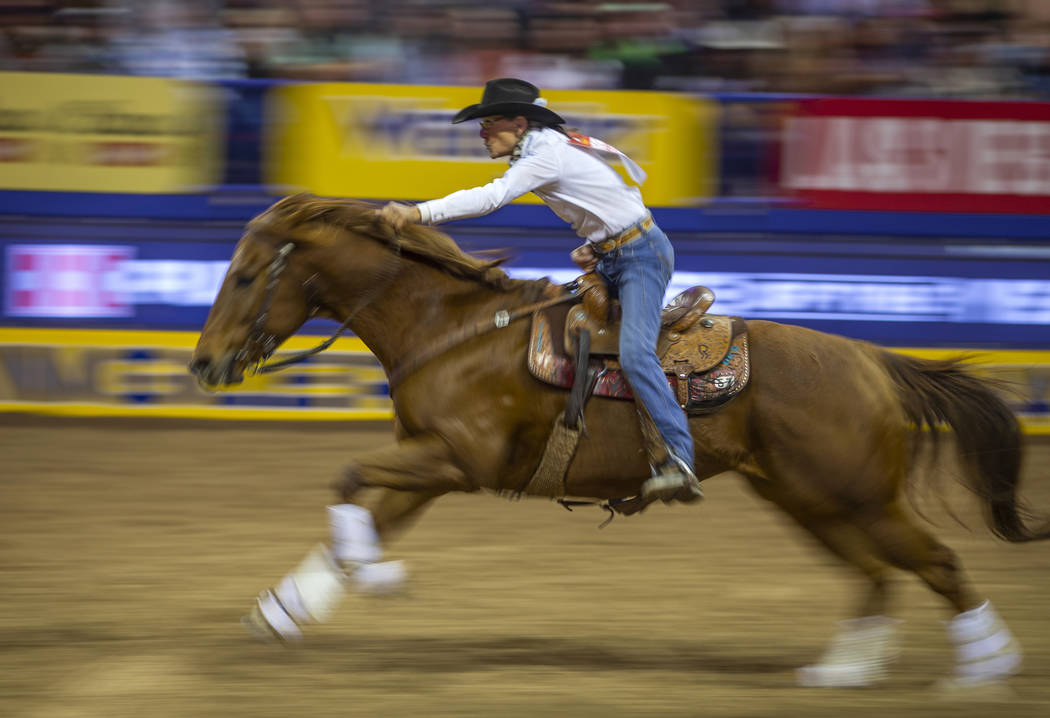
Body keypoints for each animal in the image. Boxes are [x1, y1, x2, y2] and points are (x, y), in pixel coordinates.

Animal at [193, 193, 1045, 688]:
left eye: (245, 277)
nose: (204, 364)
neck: (453, 331)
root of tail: (871, 359)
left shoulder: (456, 460)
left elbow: (344, 480)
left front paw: (375, 579)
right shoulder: (427, 466)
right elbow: (364, 515)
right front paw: (286, 609)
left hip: (855, 492)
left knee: (935, 560)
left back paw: (986, 665)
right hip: (808, 498)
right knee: (874, 572)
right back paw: (845, 669)